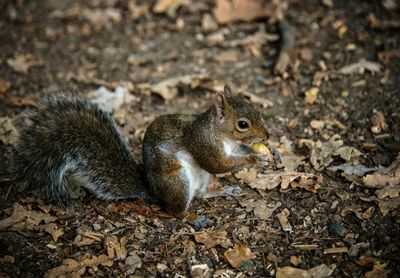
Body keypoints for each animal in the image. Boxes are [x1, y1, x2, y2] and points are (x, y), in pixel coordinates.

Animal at [13, 84, 282, 217]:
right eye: (243, 124)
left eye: (255, 108)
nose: (267, 136)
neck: (221, 134)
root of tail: (152, 192)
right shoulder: (202, 143)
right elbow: (217, 163)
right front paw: (255, 159)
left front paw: (272, 152)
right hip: (177, 181)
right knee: (175, 211)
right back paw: (192, 218)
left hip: (201, 179)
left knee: (201, 195)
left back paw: (222, 191)